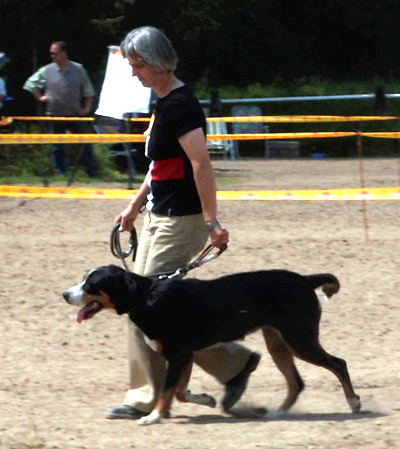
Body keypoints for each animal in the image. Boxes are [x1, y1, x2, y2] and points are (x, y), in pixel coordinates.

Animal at [63, 264, 362, 426]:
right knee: (296, 382)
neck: (147, 298)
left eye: (91, 284)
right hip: (278, 343)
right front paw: (205, 399)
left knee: (338, 364)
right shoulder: (184, 355)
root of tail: (305, 279)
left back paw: (354, 402)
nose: (65, 294)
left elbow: (167, 391)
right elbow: (179, 392)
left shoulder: (178, 354)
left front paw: (153, 417)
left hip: (300, 339)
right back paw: (277, 413)